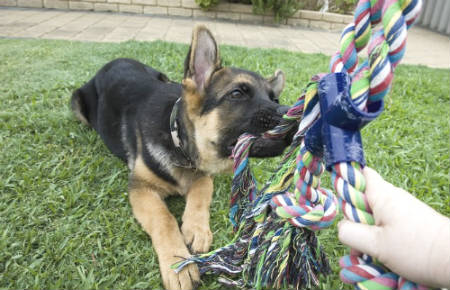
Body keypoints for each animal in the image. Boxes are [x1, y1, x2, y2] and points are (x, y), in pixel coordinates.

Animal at [71, 26, 292, 288]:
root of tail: (115, 60)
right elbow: (164, 218)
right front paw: (178, 263)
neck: (178, 142)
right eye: (237, 93)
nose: (293, 115)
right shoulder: (141, 188)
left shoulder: (202, 174)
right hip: (77, 102)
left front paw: (196, 228)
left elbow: (201, 190)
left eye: (274, 99)